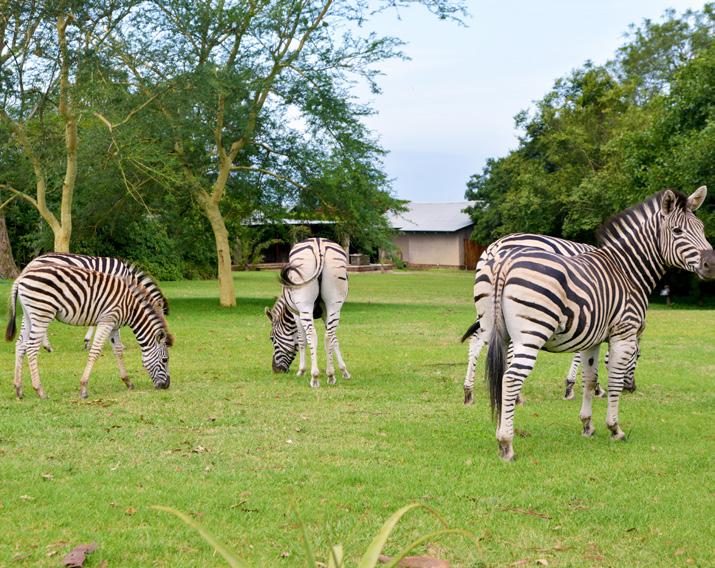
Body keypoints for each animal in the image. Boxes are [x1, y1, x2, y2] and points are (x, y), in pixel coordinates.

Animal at [6, 264, 173, 399]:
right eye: (165, 360)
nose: (166, 386)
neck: (131, 307)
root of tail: (22, 277)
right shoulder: (107, 320)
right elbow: (95, 351)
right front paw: (84, 388)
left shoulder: (113, 325)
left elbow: (118, 351)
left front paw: (128, 382)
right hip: (42, 313)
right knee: (31, 348)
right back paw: (40, 390)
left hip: (29, 314)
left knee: (20, 345)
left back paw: (18, 389)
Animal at [25, 253, 168, 352]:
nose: (165, 337)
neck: (126, 277)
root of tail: (32, 261)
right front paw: (118, 344)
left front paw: (88, 341)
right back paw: (47, 346)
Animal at [264, 237, 350, 387]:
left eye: (272, 338)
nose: (275, 369)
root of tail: (319, 243)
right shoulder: (325, 312)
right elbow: (334, 339)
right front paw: (343, 370)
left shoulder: (296, 314)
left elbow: (301, 339)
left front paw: (301, 370)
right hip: (334, 304)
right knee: (328, 335)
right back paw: (330, 375)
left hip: (305, 305)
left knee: (312, 334)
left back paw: (314, 377)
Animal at [479, 187, 713, 461]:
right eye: (677, 231)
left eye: (701, 228)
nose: (712, 265)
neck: (628, 271)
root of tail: (504, 261)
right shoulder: (624, 333)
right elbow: (613, 380)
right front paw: (615, 429)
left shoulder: (592, 339)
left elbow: (589, 380)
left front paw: (587, 425)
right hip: (530, 335)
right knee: (511, 379)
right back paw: (506, 443)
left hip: (497, 331)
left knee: (499, 376)